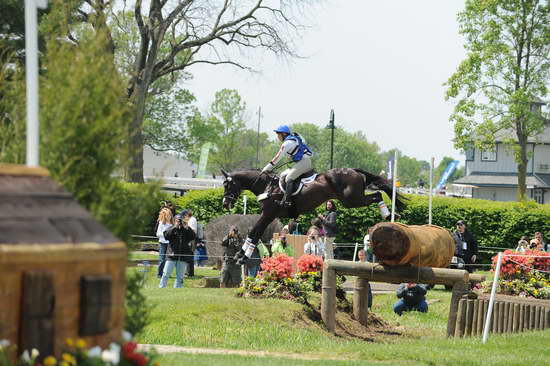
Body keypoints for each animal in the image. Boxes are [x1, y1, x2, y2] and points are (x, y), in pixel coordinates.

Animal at [222, 167, 408, 262]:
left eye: (227, 185)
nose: (225, 203)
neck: (266, 185)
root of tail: (353, 170)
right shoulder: (268, 215)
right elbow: (256, 233)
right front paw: (241, 254)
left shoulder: (268, 214)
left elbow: (255, 232)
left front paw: (242, 256)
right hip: (352, 200)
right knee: (378, 194)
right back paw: (390, 215)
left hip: (352, 200)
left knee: (377, 195)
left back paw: (388, 215)